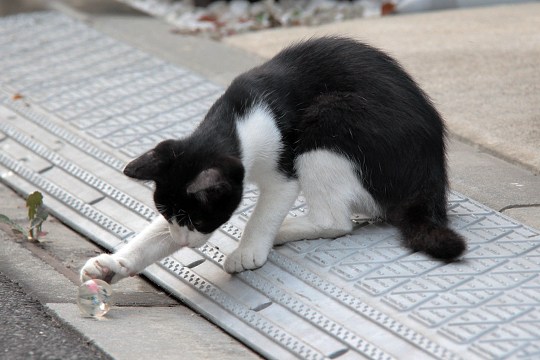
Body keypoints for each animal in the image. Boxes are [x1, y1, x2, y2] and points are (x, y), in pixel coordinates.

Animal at [79, 37, 464, 284]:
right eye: (170, 216)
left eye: (197, 220)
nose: (185, 242)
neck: (235, 123)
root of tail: (432, 178)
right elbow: (151, 237)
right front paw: (114, 265)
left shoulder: (283, 172)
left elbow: (265, 211)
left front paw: (248, 250)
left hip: (331, 119)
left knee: (335, 222)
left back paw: (287, 229)